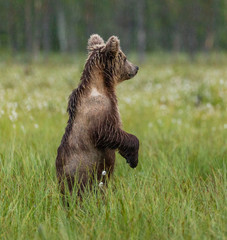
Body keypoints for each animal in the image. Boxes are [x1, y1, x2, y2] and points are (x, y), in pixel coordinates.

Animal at [55, 34, 139, 197]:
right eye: (124, 57)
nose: (136, 67)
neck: (104, 86)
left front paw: (127, 156)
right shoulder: (99, 113)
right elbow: (110, 132)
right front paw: (133, 159)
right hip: (77, 175)